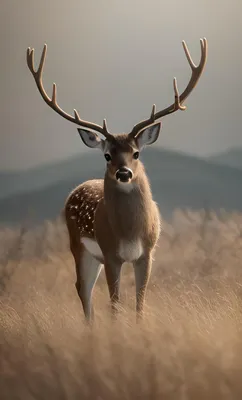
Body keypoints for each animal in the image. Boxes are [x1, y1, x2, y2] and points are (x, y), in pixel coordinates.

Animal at [27, 38, 208, 322]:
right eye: (107, 155)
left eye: (136, 153)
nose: (124, 173)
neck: (131, 233)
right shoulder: (111, 253)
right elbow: (114, 304)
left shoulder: (147, 253)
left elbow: (139, 303)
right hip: (78, 245)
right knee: (83, 288)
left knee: (85, 288)